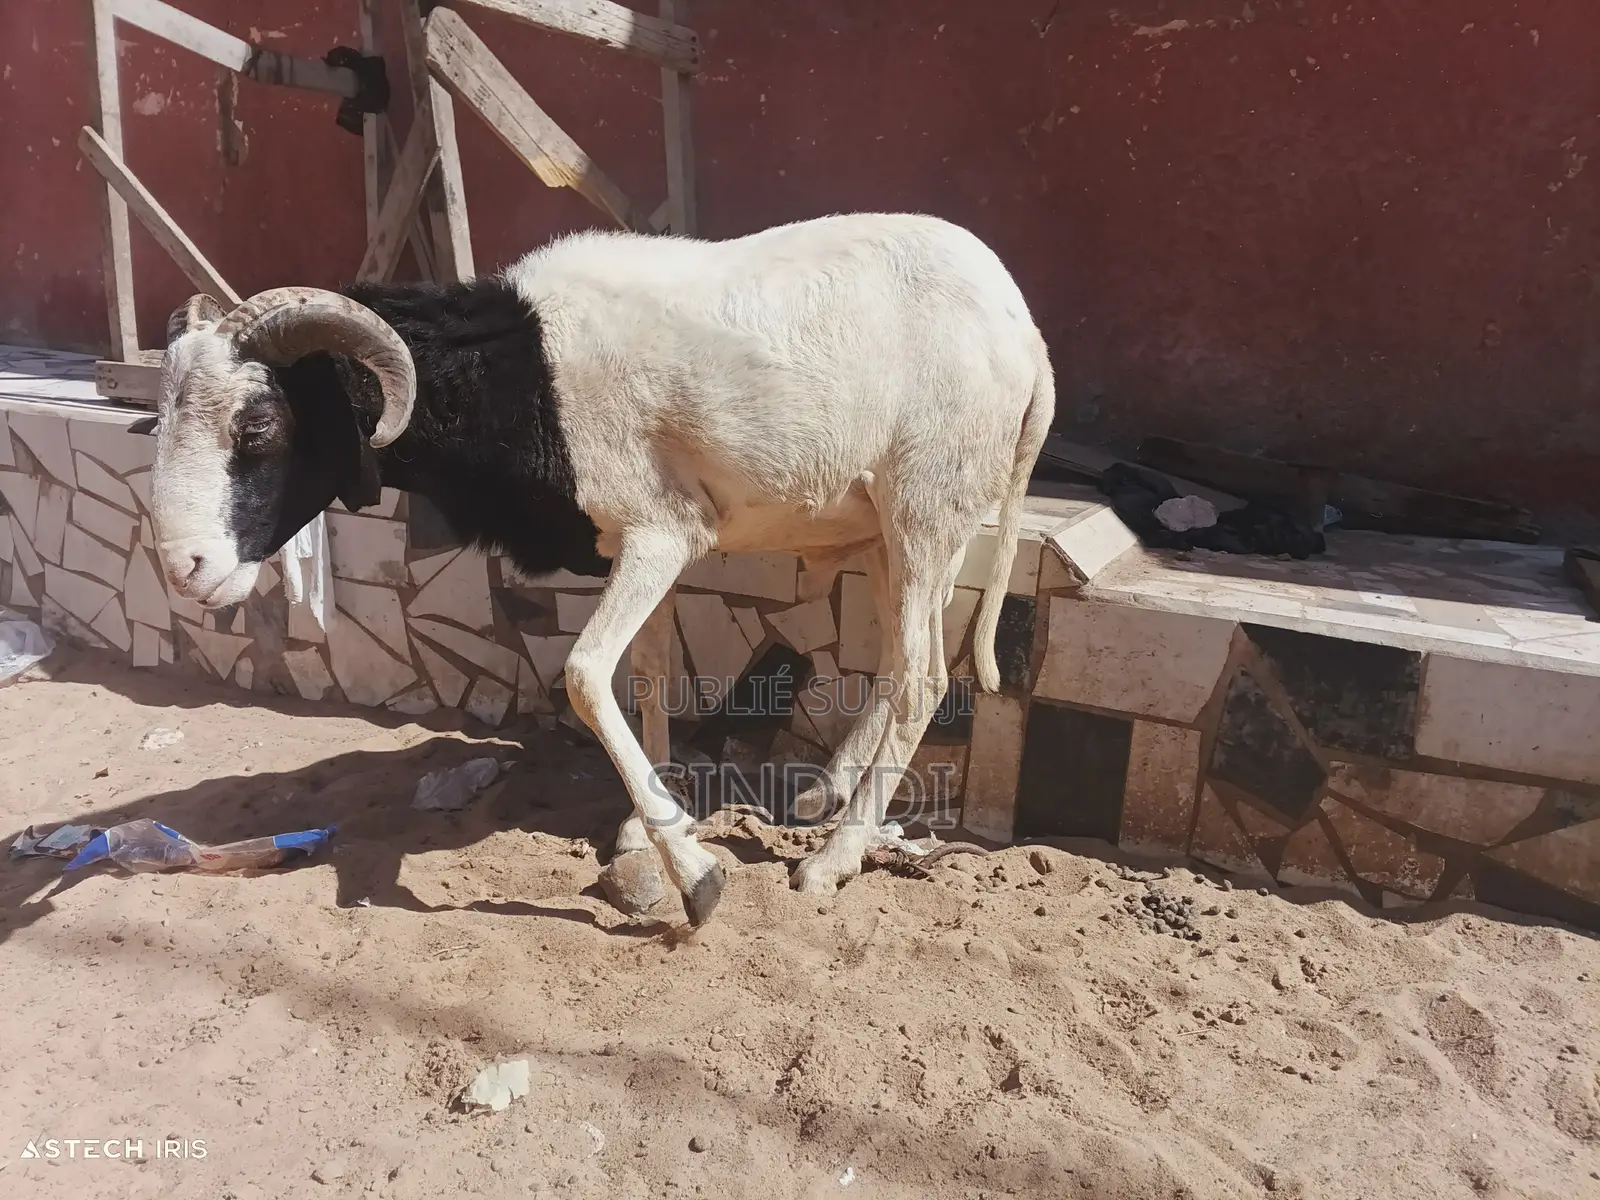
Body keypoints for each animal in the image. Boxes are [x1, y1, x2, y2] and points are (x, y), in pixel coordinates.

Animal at [148, 213, 1055, 925]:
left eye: (259, 426)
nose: (184, 569)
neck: (522, 374)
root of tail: (1029, 336)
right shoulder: (638, 547)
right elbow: (648, 671)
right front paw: (648, 822)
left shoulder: (663, 533)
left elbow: (587, 674)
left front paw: (698, 879)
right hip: (885, 533)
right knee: (901, 661)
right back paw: (822, 796)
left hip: (926, 508)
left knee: (924, 677)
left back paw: (832, 860)